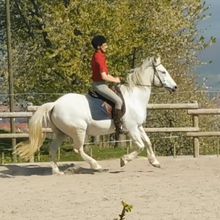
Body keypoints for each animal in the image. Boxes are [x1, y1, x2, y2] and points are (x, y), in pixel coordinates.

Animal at [15, 57, 177, 175]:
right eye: (163, 72)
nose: (175, 87)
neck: (134, 97)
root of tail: (55, 104)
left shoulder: (139, 126)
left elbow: (148, 142)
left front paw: (154, 162)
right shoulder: (131, 127)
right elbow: (140, 145)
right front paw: (124, 160)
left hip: (61, 132)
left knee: (53, 148)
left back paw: (57, 171)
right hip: (79, 130)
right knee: (78, 149)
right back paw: (96, 166)